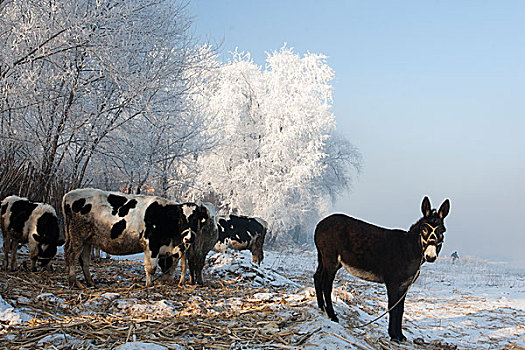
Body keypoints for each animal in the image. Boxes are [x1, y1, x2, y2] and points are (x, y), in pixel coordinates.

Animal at [64, 189, 212, 288]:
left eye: (196, 219)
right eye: (181, 219)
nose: (188, 238)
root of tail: (69, 194)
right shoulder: (152, 244)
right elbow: (151, 267)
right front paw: (150, 285)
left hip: (87, 240)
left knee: (84, 260)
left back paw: (90, 282)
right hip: (77, 236)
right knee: (72, 256)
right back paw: (73, 282)